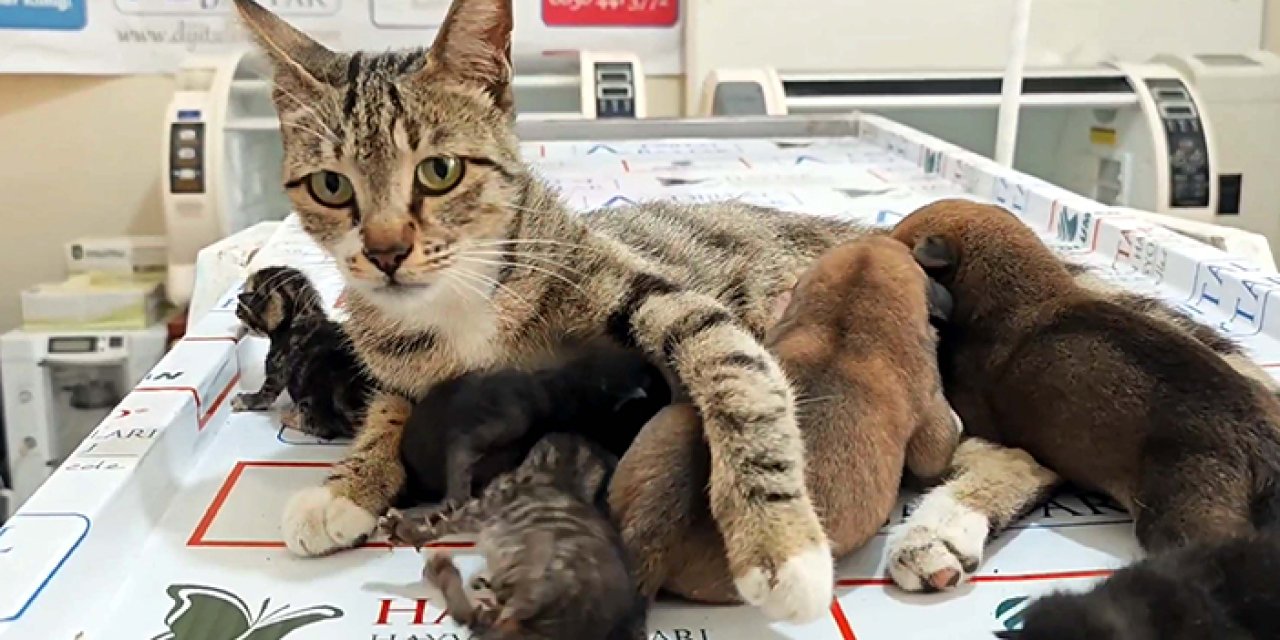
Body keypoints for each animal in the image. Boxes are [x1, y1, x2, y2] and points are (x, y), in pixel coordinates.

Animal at [231, 264, 373, 440]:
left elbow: (263, 396)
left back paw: (290, 416)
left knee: (324, 429)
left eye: (242, 308)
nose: (236, 310)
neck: (303, 315)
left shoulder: (276, 370)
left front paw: (243, 400)